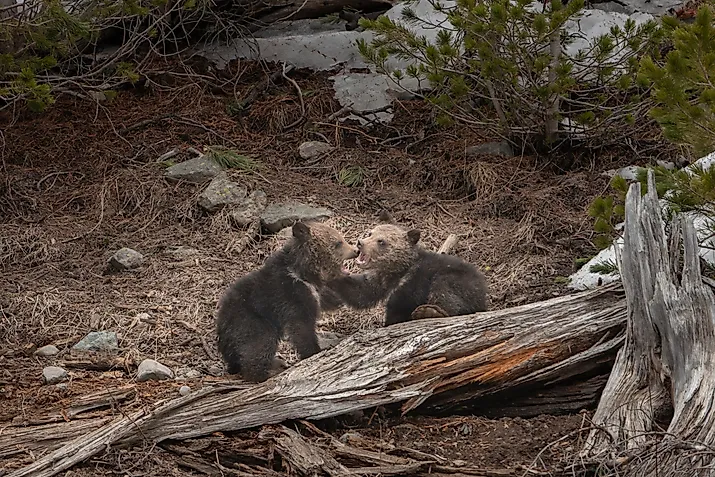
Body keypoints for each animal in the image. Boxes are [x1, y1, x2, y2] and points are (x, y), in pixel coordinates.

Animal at [216, 220, 358, 382]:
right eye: (338, 243)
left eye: (341, 239)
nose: (355, 250)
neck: (303, 273)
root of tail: (221, 324)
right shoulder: (291, 295)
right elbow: (301, 327)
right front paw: (314, 351)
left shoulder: (312, 290)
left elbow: (324, 299)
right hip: (250, 321)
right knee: (260, 343)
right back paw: (267, 372)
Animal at [324, 211, 489, 326]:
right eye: (370, 233)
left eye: (381, 241)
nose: (360, 242)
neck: (397, 271)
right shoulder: (380, 281)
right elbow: (361, 292)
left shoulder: (413, 283)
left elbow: (399, 305)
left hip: (459, 279)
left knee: (446, 291)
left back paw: (430, 311)